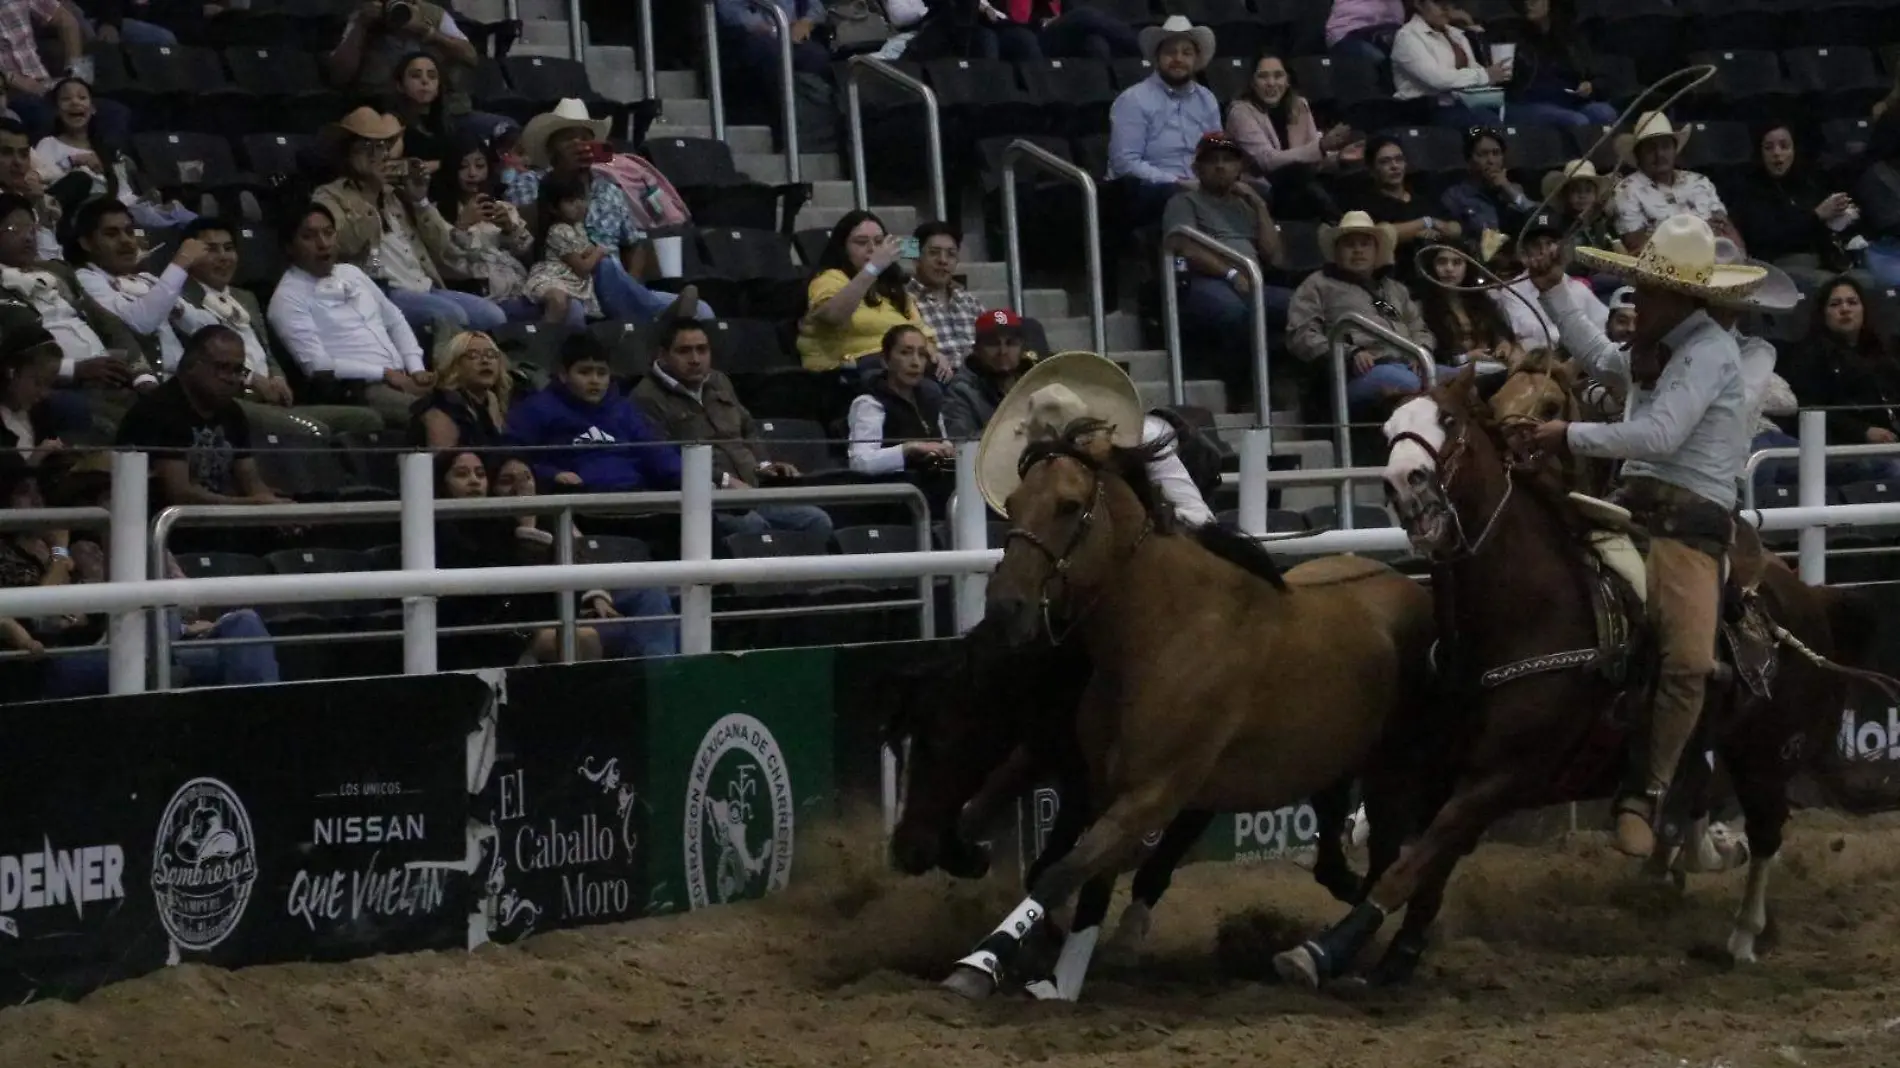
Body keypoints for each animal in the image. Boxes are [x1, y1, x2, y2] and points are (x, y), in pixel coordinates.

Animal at [942, 421, 1428, 995]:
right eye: (1014, 504)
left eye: (1068, 505)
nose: (1005, 607)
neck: (1167, 632)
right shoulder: (1105, 787)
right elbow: (1081, 879)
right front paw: (1062, 975)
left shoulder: (1156, 793)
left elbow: (1066, 872)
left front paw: (982, 966)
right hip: (1334, 767)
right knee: (1347, 855)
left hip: (1393, 772)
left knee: (1393, 858)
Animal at [1269, 376, 1877, 988]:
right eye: (1389, 429)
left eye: (1449, 420)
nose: (1402, 483)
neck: (1524, 612)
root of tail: (1806, 599)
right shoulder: (1440, 770)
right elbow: (1429, 861)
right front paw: (1400, 953)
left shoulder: (1503, 774)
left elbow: (1417, 860)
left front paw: (1322, 951)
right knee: (1702, 803)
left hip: (1768, 757)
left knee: (1769, 832)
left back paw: (1743, 934)